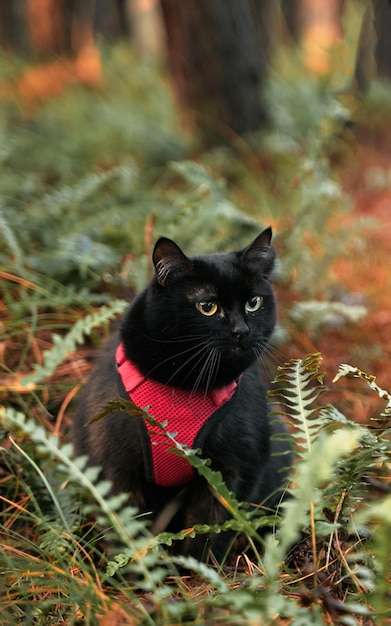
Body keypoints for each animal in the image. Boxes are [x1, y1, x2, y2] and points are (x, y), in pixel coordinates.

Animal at [72, 227, 290, 560]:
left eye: (253, 303)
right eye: (207, 306)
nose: (241, 331)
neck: (185, 386)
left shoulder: (233, 468)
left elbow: (210, 530)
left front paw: (198, 569)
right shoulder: (116, 468)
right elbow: (127, 530)